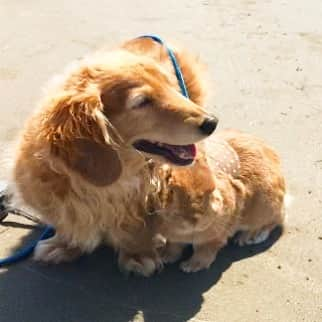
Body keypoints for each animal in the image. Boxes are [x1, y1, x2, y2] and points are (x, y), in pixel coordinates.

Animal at [10, 37, 216, 274]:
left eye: (171, 87)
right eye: (142, 102)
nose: (212, 123)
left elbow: (137, 227)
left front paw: (138, 254)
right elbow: (68, 221)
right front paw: (64, 245)